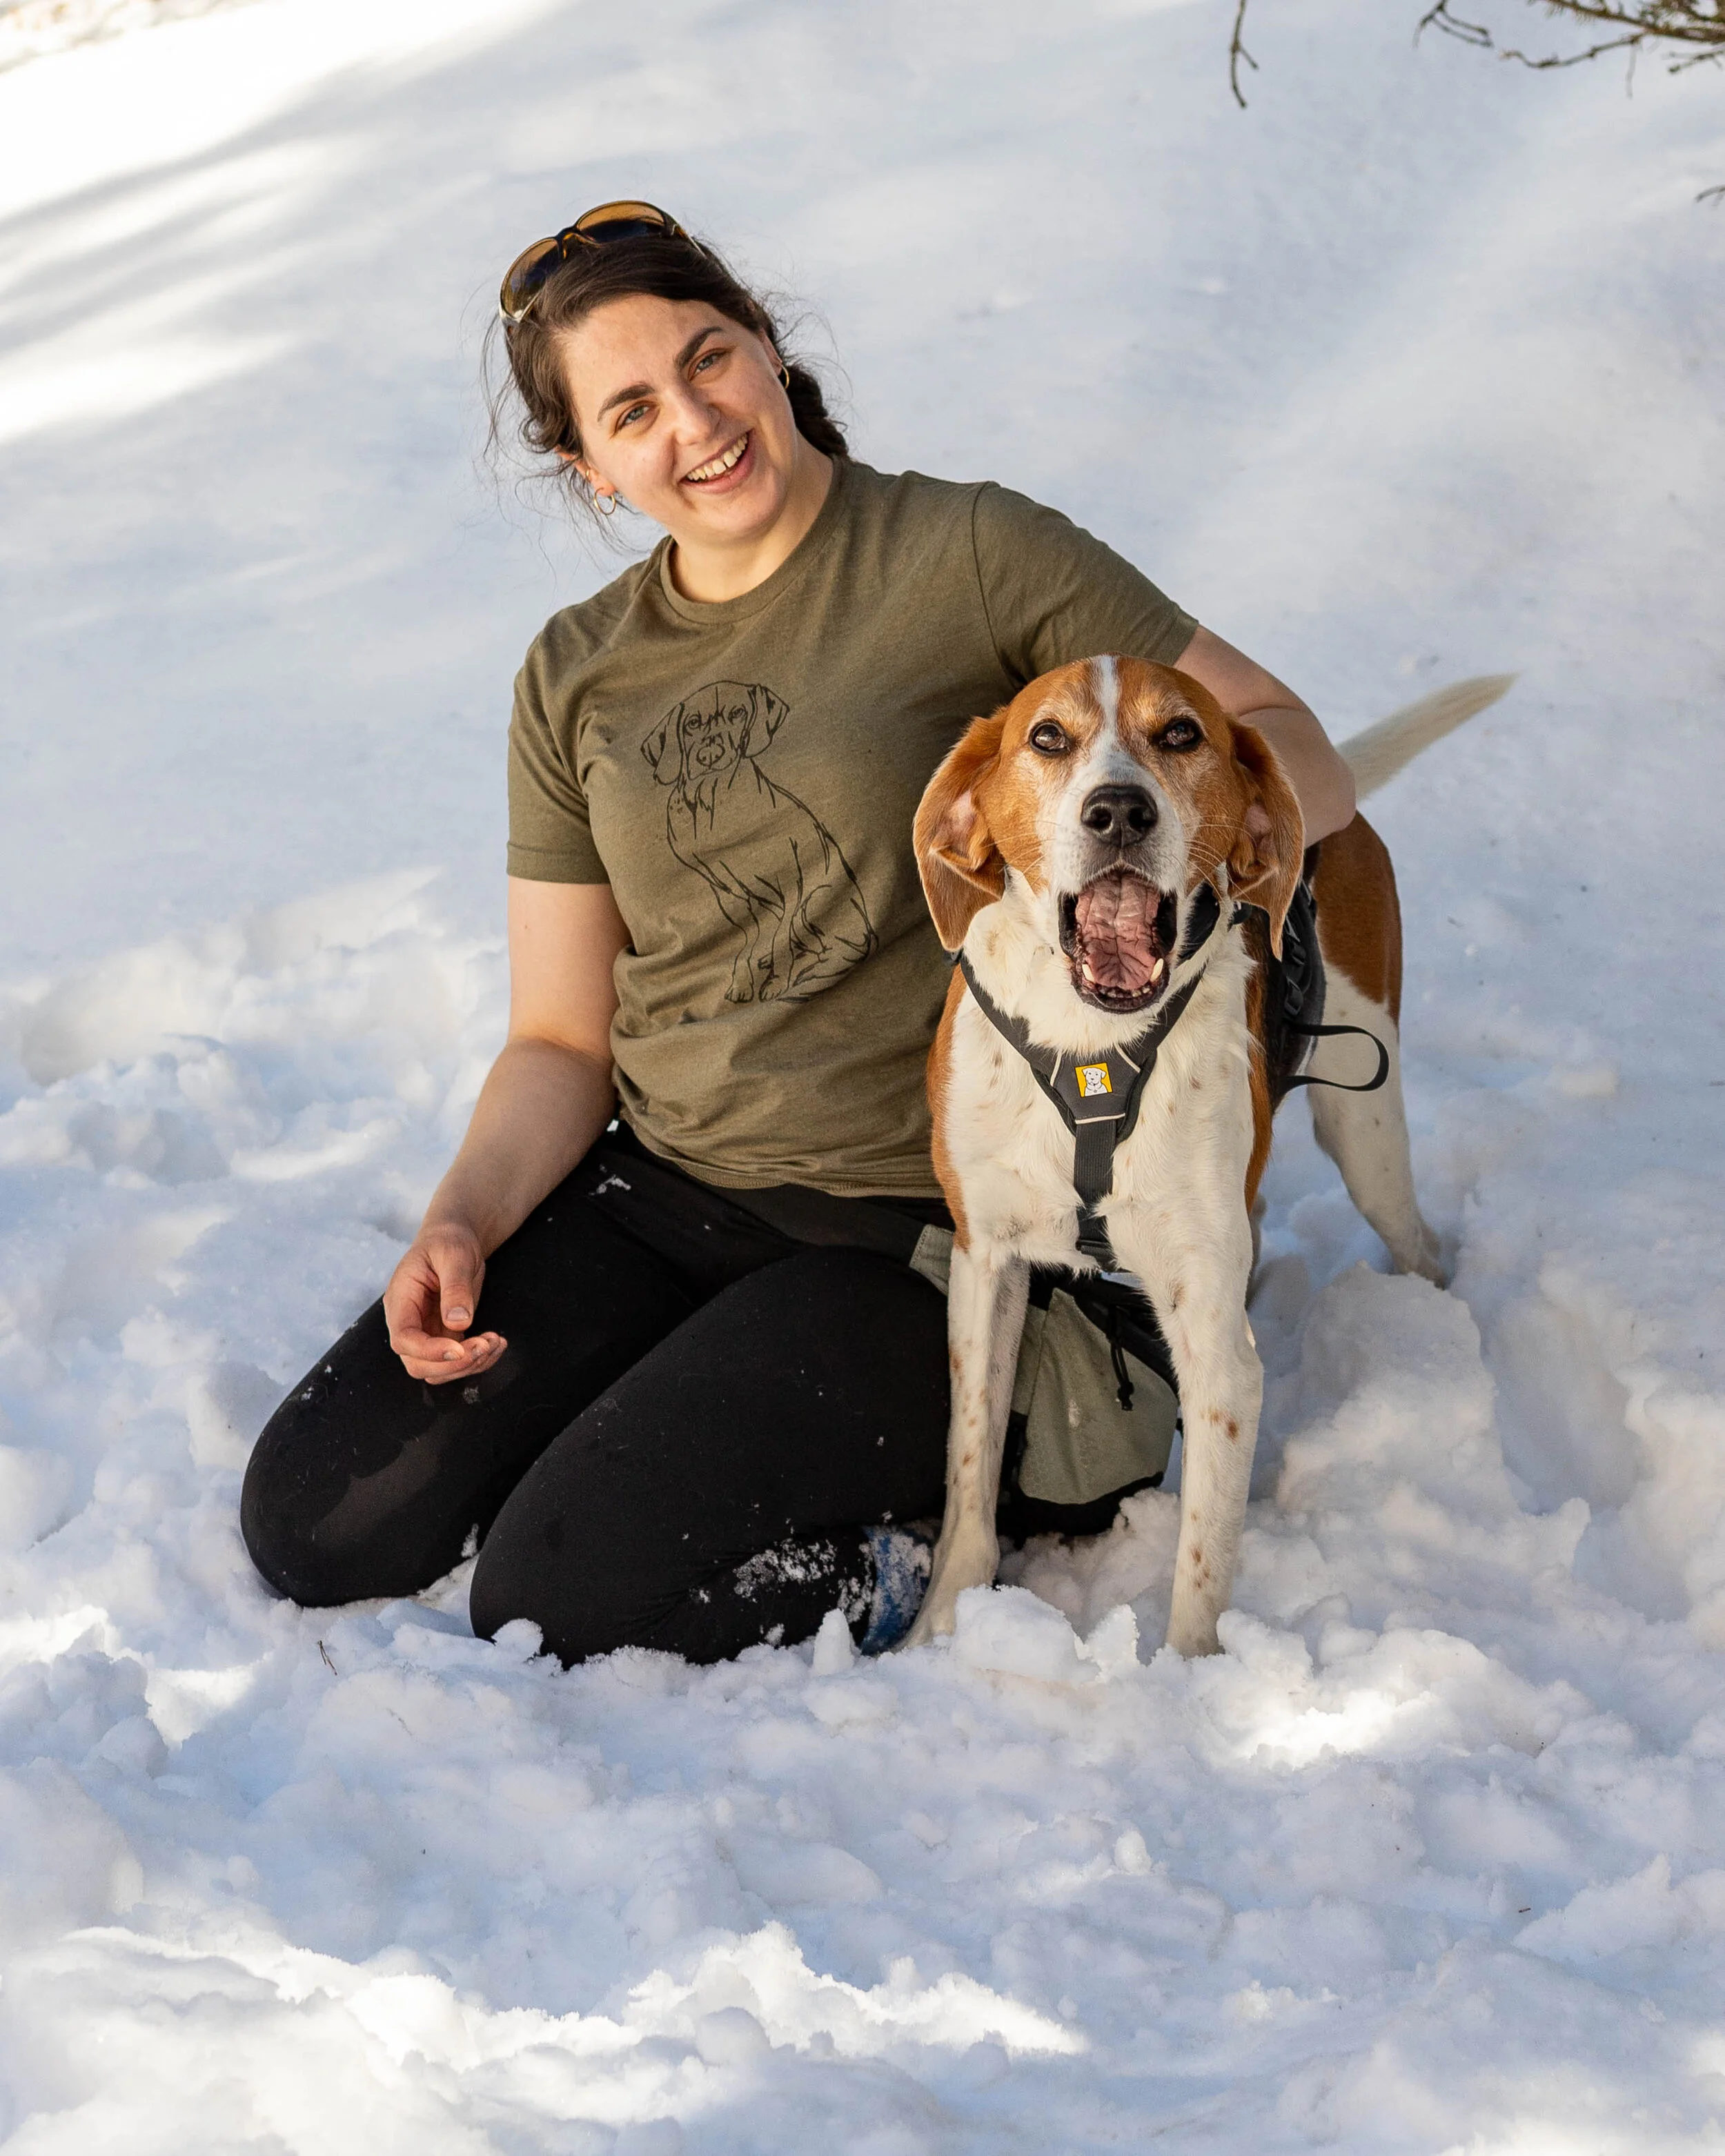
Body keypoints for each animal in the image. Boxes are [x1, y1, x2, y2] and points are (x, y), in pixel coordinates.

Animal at [642, 679, 876, 1004]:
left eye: (738, 713)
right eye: (692, 724)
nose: (709, 755)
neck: (712, 804)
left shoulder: (791, 886)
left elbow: (779, 941)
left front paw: (776, 983)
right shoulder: (728, 894)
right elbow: (747, 944)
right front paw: (743, 983)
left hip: (814, 903)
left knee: (831, 947)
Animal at [903, 656, 1511, 1656]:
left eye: (1182, 733)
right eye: (1047, 737)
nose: (1118, 810)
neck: (1090, 1043)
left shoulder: (1214, 1335)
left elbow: (1202, 1556)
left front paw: (1187, 1679)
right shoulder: (984, 1259)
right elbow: (969, 1462)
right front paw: (938, 1631)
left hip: (1366, 1133)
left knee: (1420, 1246)